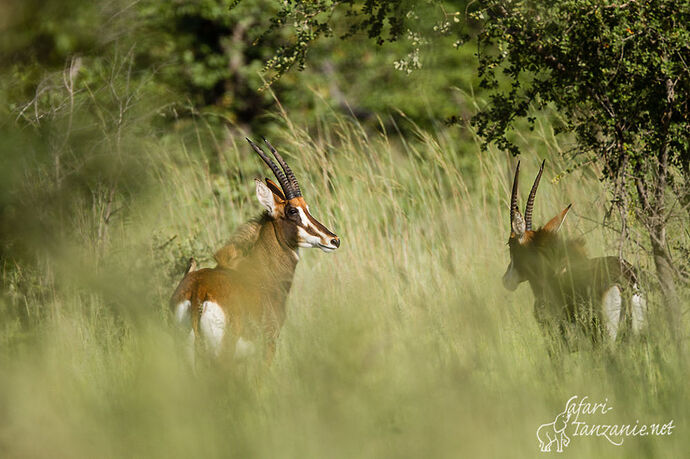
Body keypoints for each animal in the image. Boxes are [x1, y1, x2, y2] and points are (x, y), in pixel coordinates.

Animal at [171, 138, 340, 362]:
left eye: (307, 207)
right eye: (292, 210)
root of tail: (198, 291)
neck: (260, 273)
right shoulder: (268, 346)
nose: (333, 240)